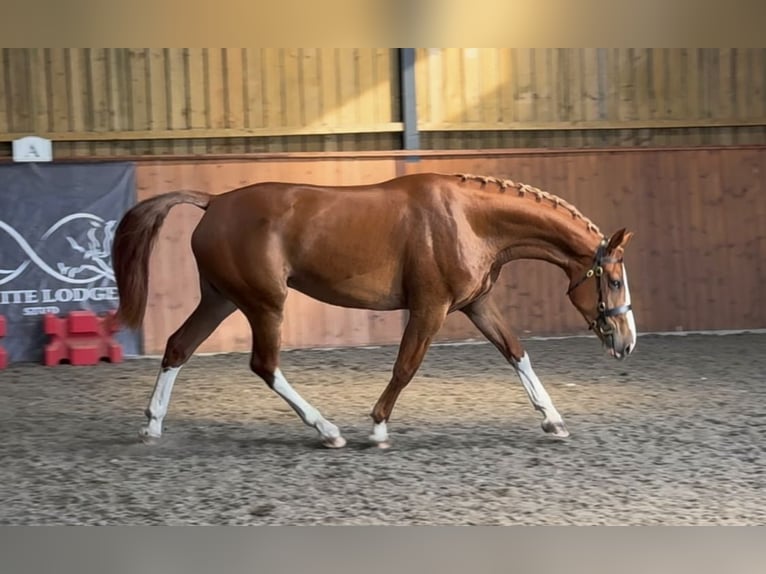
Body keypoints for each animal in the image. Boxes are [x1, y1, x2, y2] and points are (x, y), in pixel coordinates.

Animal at [111, 172, 636, 449]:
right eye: (613, 280)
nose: (627, 343)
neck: (468, 221)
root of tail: (214, 202)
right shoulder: (430, 307)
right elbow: (405, 366)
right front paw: (378, 427)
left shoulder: (476, 304)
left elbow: (516, 352)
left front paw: (553, 420)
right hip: (264, 304)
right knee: (264, 364)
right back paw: (328, 430)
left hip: (221, 298)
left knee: (178, 348)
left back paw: (152, 424)